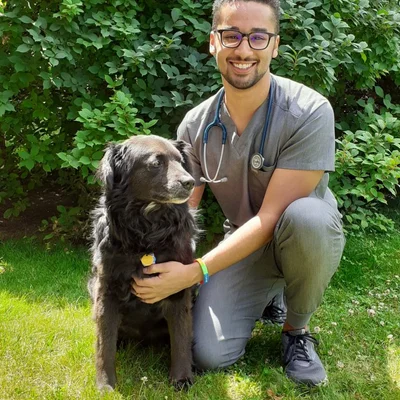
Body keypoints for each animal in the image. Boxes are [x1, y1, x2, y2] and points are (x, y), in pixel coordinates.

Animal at [88, 135, 198, 392]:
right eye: (156, 163)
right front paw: (105, 384)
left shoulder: (178, 288)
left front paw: (182, 378)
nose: (190, 182)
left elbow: (181, 338)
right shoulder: (106, 288)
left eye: (181, 162)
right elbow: (104, 344)